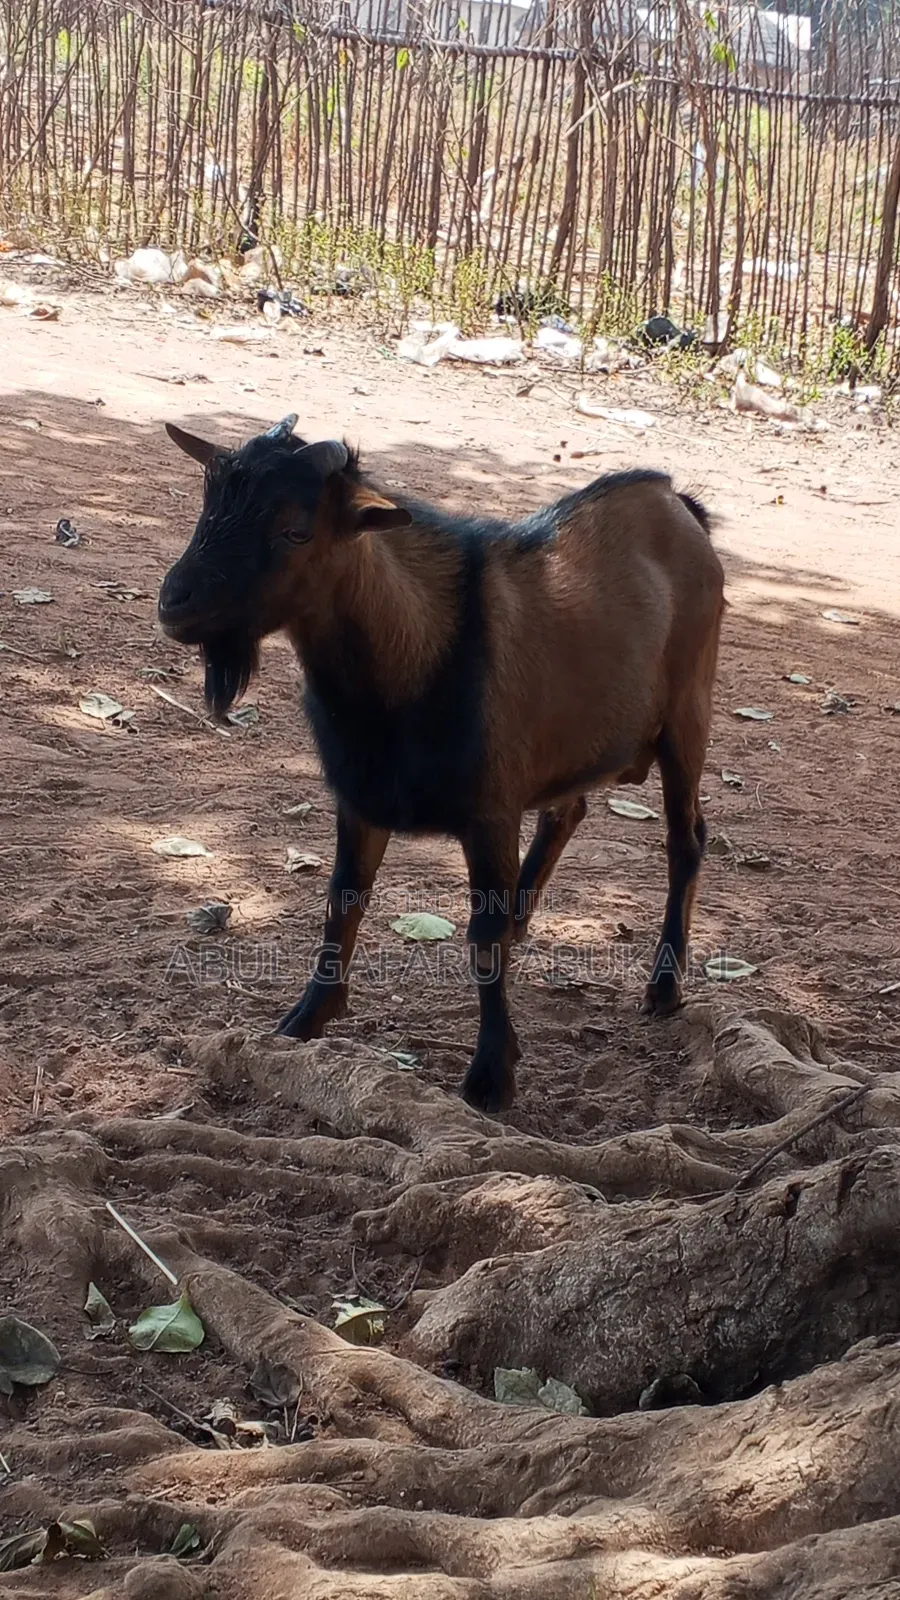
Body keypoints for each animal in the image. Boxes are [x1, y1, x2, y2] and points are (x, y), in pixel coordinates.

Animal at [158, 415, 725, 1113]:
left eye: (295, 530)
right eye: (209, 501)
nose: (174, 602)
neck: (407, 666)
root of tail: (679, 506)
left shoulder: (489, 813)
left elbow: (480, 939)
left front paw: (491, 1074)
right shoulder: (362, 799)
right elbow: (342, 902)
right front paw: (304, 1018)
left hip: (687, 718)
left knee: (686, 839)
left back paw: (663, 987)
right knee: (568, 809)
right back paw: (525, 917)